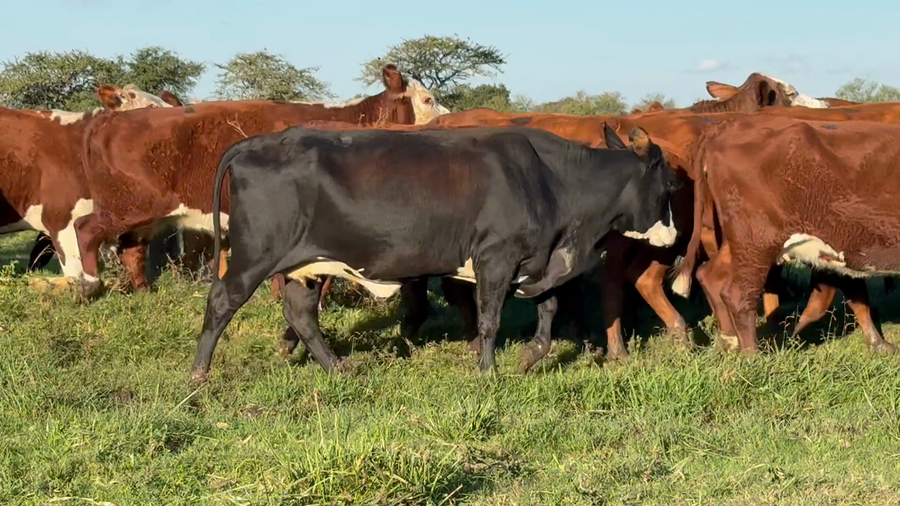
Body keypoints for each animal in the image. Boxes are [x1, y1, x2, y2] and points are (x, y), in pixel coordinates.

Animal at [72, 65, 449, 298]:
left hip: (142, 213)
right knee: (86, 229)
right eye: (428, 99)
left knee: (131, 249)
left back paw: (143, 291)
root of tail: (106, 120)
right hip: (127, 205)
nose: (448, 121)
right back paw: (90, 284)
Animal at [188, 122, 683, 382]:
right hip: (256, 255)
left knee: (302, 314)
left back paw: (338, 367)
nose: (673, 237)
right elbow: (489, 320)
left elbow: (548, 309)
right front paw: (488, 372)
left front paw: (530, 356)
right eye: (668, 186)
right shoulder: (495, 258)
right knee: (222, 301)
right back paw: (199, 374)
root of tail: (260, 140)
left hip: (306, 264)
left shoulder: (537, 259)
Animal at [673, 115, 900, 354]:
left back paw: (731, 341)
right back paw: (752, 356)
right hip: (757, 241)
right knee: (738, 295)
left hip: (743, 242)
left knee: (709, 275)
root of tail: (725, 126)